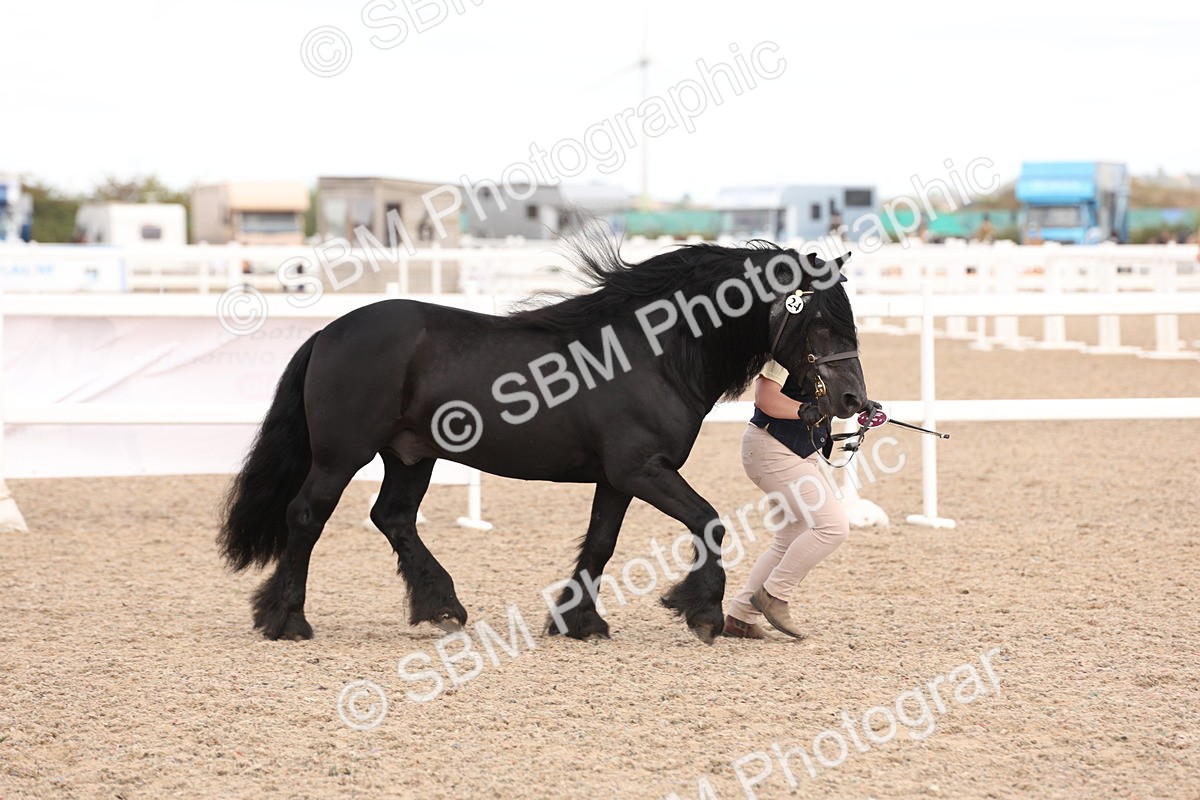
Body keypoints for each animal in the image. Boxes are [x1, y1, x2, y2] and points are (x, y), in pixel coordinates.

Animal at [218, 237, 867, 644]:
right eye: (818, 319)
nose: (853, 403)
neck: (650, 353)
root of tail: (329, 331)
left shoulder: (617, 478)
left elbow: (601, 544)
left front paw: (579, 621)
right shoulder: (642, 469)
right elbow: (708, 522)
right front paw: (702, 611)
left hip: (410, 456)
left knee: (393, 518)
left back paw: (442, 607)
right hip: (340, 456)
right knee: (306, 516)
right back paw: (287, 620)